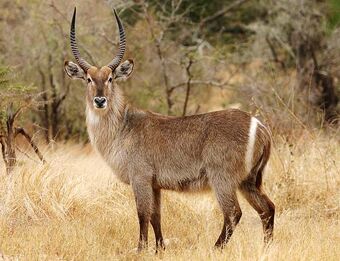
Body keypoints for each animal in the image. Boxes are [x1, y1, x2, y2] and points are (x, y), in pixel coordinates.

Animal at [65, 6, 274, 250]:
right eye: (88, 79)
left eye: (110, 79)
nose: (100, 101)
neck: (122, 127)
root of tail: (259, 125)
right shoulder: (155, 185)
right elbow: (156, 216)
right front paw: (159, 248)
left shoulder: (140, 177)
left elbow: (142, 214)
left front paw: (141, 249)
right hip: (248, 180)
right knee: (267, 208)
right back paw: (267, 247)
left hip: (223, 178)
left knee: (233, 213)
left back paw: (215, 248)